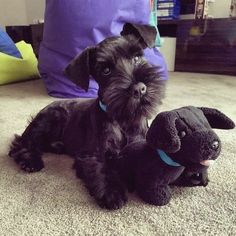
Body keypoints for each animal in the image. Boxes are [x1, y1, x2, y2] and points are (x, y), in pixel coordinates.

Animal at [9, 23, 166, 209]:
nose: (139, 89)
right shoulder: (92, 155)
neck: (123, 119)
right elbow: (102, 170)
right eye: (106, 70)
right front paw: (112, 192)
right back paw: (31, 161)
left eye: (136, 57)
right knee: (22, 143)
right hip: (51, 118)